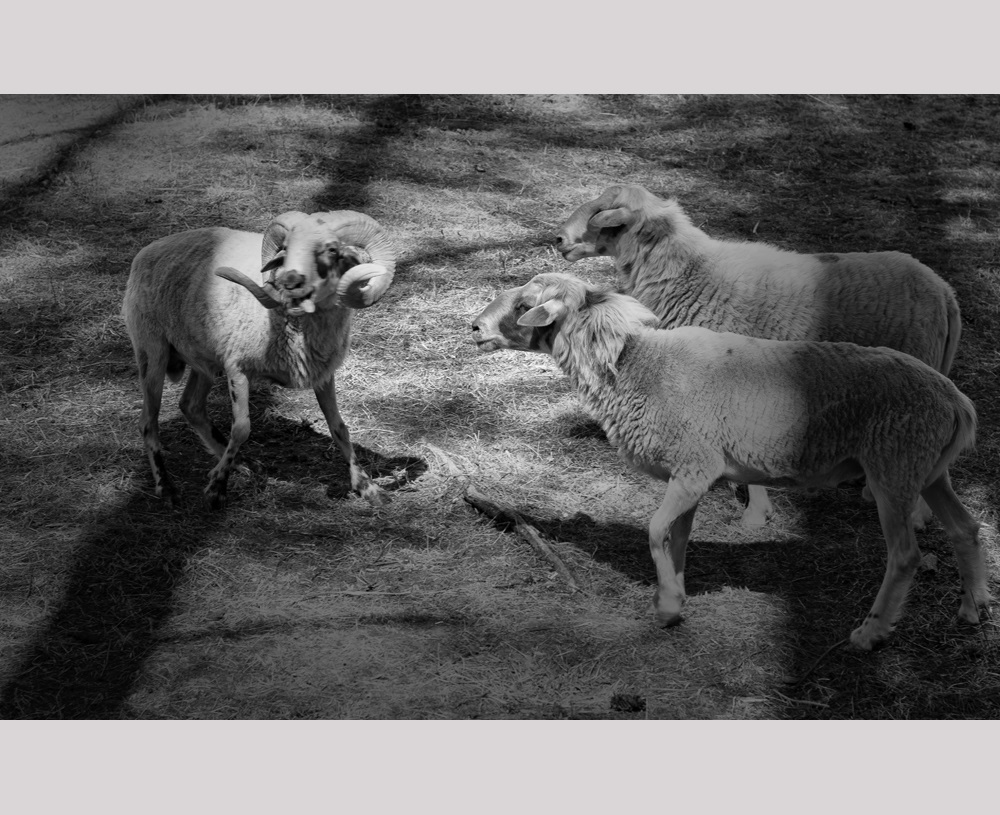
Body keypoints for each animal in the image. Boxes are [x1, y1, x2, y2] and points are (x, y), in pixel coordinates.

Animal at [122, 210, 396, 509]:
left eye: (332, 250)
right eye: (286, 247)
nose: (290, 281)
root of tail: (147, 251)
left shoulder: (323, 374)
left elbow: (339, 428)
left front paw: (367, 486)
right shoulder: (237, 369)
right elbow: (241, 429)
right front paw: (216, 488)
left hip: (205, 359)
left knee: (191, 406)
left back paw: (243, 463)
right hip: (152, 351)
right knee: (148, 422)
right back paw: (167, 486)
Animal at [471, 272, 991, 650]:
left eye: (524, 306)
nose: (474, 327)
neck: (635, 367)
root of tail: (956, 402)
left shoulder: (694, 467)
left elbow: (655, 531)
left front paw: (666, 607)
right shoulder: (689, 473)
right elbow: (678, 537)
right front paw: (676, 595)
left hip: (893, 469)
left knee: (905, 555)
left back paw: (871, 633)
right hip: (927, 470)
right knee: (966, 528)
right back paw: (973, 608)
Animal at [555, 184, 962, 529]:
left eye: (602, 214)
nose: (558, 239)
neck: (691, 273)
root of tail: (945, 292)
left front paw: (756, 512)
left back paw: (913, 513)